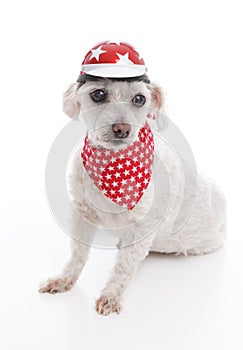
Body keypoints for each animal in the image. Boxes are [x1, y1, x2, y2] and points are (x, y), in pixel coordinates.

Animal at [39, 42, 227, 316]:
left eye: (140, 99)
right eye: (98, 94)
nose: (121, 129)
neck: (111, 164)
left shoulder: (142, 226)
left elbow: (124, 266)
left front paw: (111, 296)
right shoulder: (82, 215)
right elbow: (77, 254)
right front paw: (64, 279)